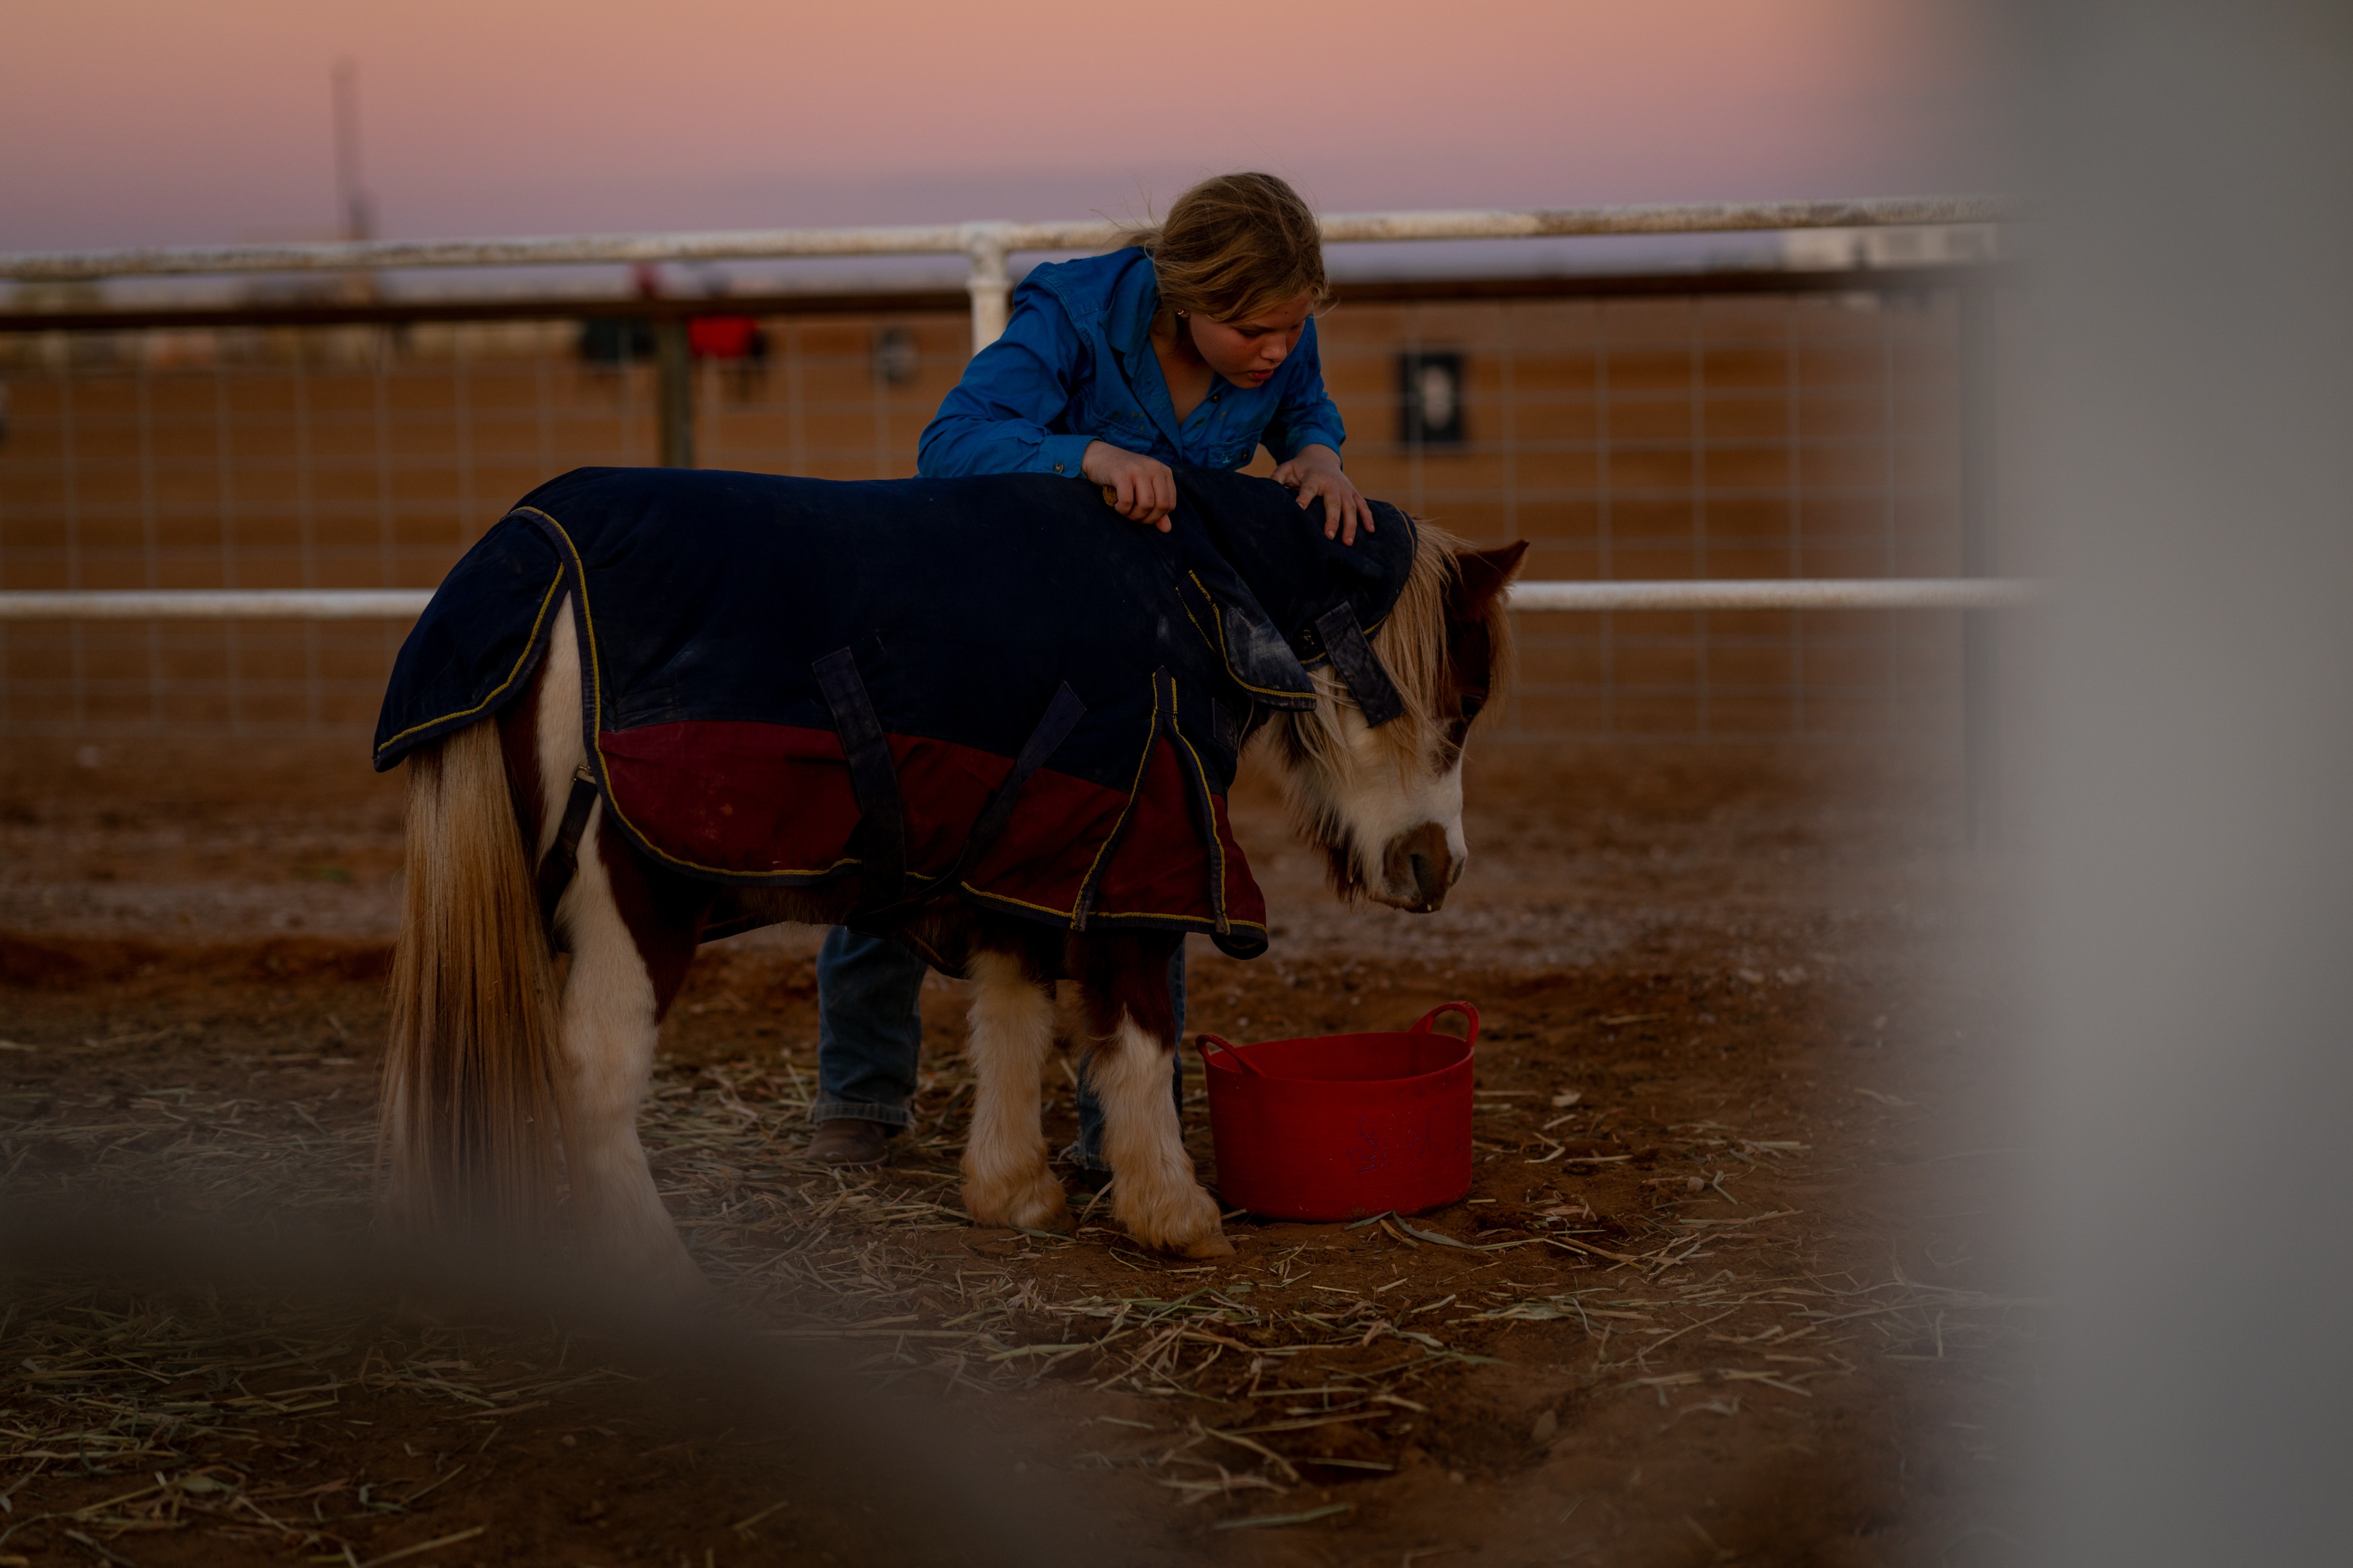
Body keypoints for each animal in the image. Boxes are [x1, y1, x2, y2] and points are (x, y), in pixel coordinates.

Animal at [378, 480, 1525, 1291]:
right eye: (1463, 695)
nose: (1438, 867)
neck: (1192, 587)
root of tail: (534, 563)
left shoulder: (1031, 856)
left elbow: (1013, 1019)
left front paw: (1013, 1191)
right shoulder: (1138, 861)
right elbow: (1138, 1036)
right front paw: (1175, 1213)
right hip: (633, 908)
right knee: (594, 1075)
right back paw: (653, 1273)